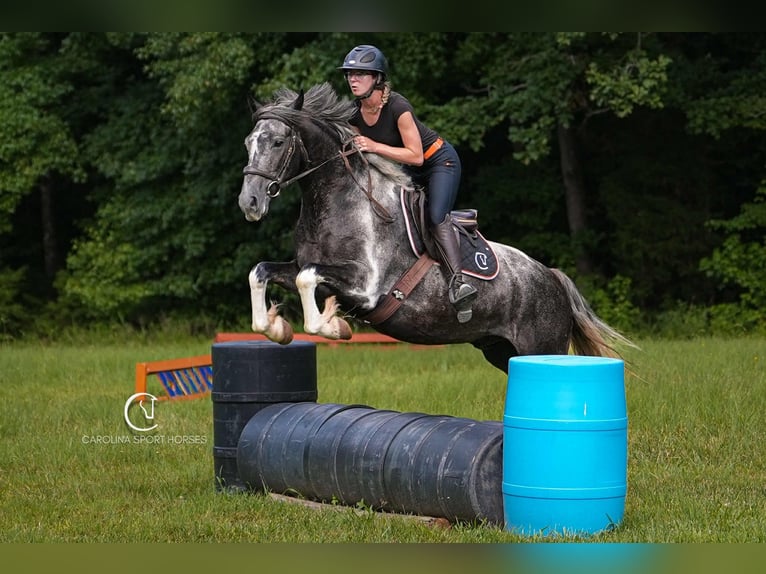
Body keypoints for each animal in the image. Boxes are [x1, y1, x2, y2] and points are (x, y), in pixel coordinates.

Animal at [238, 82, 633, 373]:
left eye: (278, 142)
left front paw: (335, 326)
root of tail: (552, 276)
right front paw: (276, 327)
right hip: (500, 349)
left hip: (541, 345)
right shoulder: (306, 267)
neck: (338, 199)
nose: (249, 203)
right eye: (248, 142)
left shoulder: (365, 286)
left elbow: (307, 281)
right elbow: (262, 272)